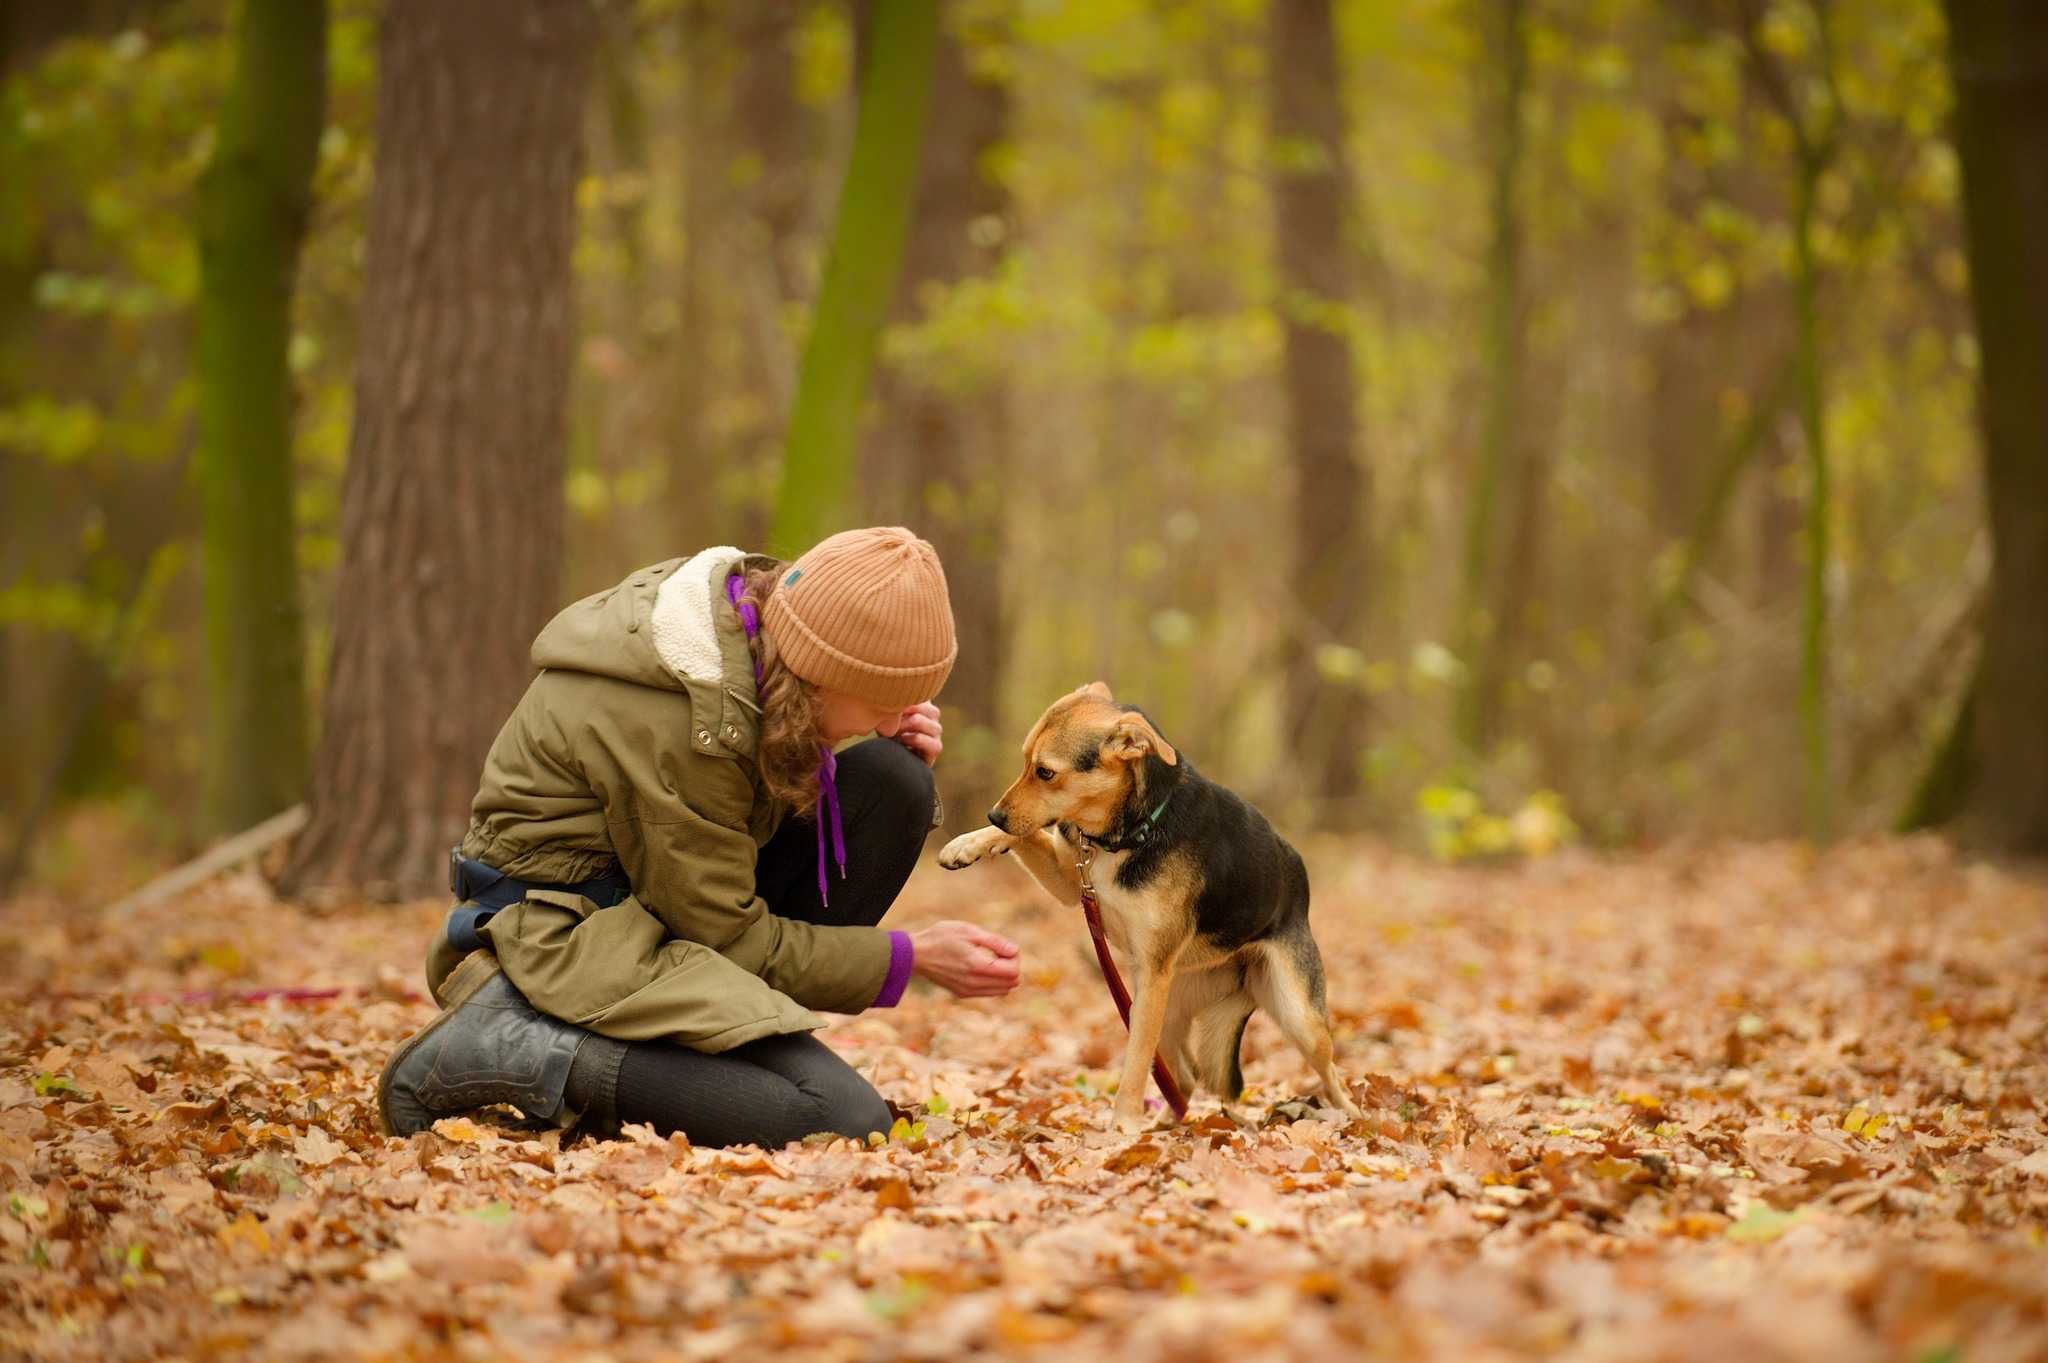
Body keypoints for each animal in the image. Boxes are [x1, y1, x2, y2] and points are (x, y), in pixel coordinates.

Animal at [933, 679, 1351, 1121]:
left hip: (1291, 1014)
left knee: (1332, 1075)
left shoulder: (1150, 971)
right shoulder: (1070, 881)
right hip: (1168, 1005)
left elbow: (1135, 1062)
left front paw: (1122, 1124)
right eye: (1025, 762)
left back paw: (1356, 1118)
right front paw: (969, 844)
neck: (1131, 829)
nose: (994, 814)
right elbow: (1027, 834)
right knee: (1184, 1079)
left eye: (1045, 772)